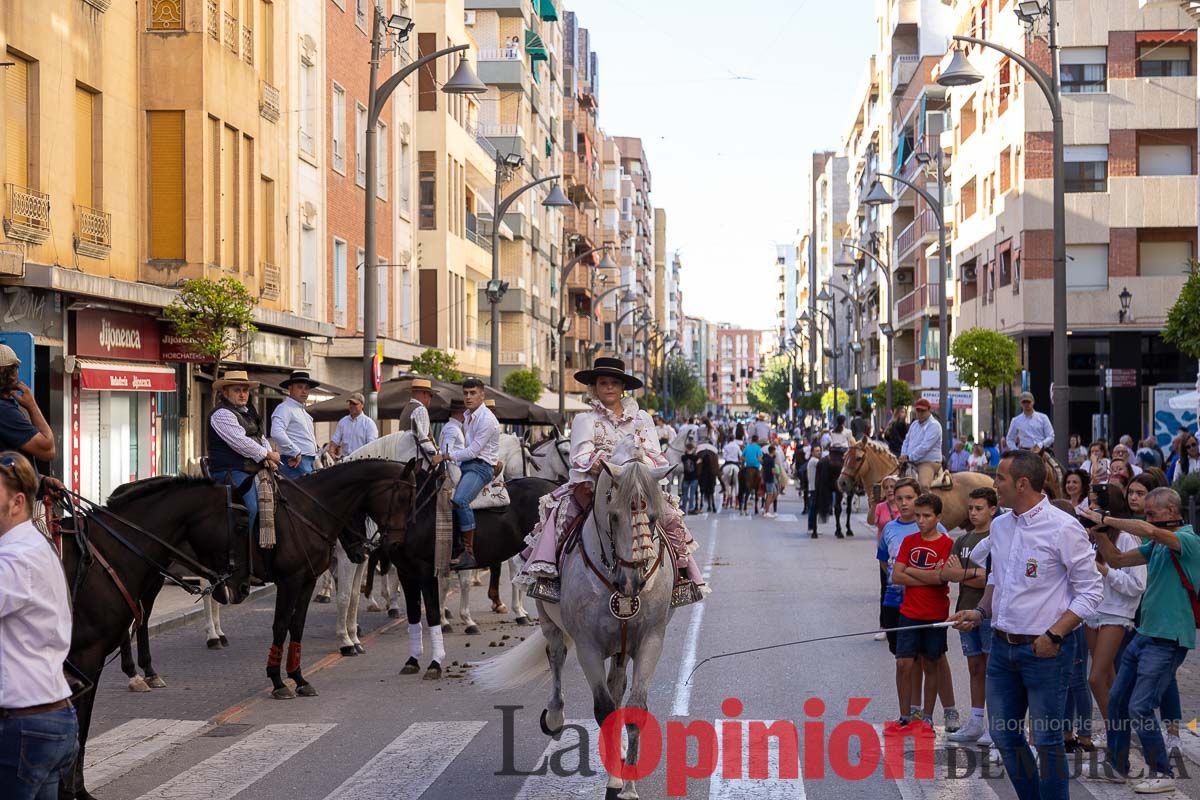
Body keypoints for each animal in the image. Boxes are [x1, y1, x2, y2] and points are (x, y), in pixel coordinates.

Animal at [61, 479, 253, 796]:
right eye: (240, 526)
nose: (246, 587)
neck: (107, 557)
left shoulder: (89, 662)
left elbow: (81, 728)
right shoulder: (85, 656)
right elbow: (79, 724)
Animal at [472, 441, 676, 796]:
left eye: (653, 517)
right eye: (613, 515)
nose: (632, 582)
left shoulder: (651, 640)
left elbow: (634, 709)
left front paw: (629, 786)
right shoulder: (588, 647)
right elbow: (604, 708)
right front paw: (615, 781)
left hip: (621, 646)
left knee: (617, 685)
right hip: (549, 620)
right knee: (555, 655)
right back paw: (554, 717)